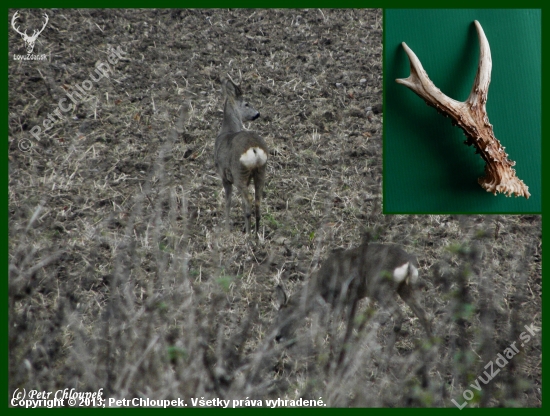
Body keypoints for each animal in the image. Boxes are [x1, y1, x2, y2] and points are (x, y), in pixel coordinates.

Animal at [215, 77, 268, 234]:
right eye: (247, 103)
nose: (257, 114)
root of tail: (254, 149)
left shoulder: (224, 175)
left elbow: (228, 202)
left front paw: (226, 228)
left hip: (239, 173)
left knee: (249, 201)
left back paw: (249, 234)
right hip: (260, 171)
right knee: (257, 201)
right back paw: (256, 233)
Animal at [274, 237, 434, 344]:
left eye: (283, 316)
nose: (277, 337)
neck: (320, 287)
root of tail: (408, 264)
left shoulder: (341, 297)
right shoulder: (351, 298)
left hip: (380, 287)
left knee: (398, 313)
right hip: (404, 288)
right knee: (424, 315)